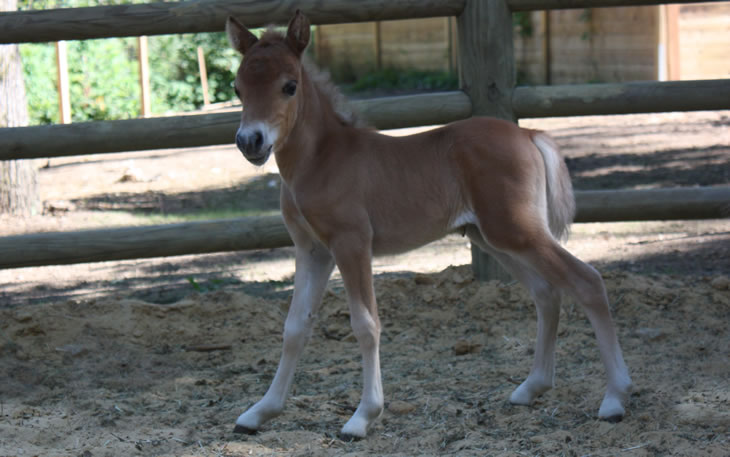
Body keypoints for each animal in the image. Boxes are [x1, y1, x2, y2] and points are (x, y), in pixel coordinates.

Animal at [225, 11, 628, 438]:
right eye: (238, 88)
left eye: (290, 86)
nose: (250, 141)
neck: (321, 159)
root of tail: (528, 133)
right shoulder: (312, 250)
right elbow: (294, 328)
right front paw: (260, 412)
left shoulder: (352, 244)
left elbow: (366, 324)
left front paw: (363, 416)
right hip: (492, 237)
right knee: (546, 292)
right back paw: (531, 387)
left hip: (516, 231)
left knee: (587, 281)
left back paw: (615, 398)